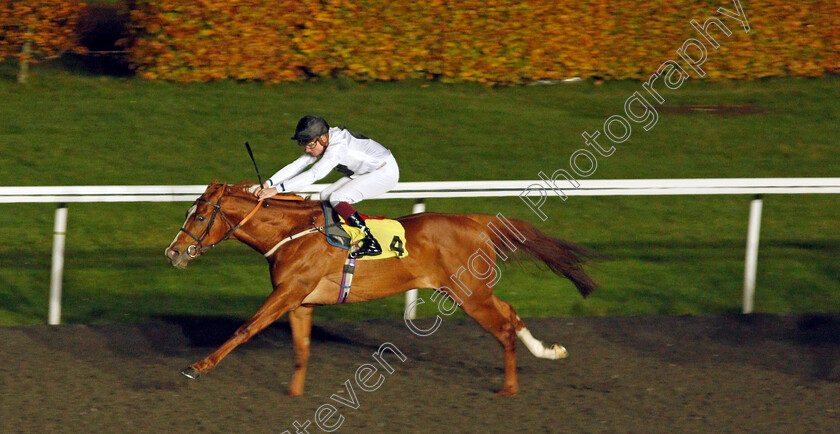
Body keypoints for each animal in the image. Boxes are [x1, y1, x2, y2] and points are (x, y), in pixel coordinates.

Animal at [164, 181, 600, 396]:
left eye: (199, 216)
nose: (173, 252)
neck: (292, 232)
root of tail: (476, 221)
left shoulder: (288, 292)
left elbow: (245, 328)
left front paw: (197, 367)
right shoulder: (300, 299)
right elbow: (301, 349)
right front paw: (294, 394)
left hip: (469, 295)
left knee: (504, 329)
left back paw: (509, 389)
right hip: (475, 291)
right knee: (510, 311)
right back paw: (549, 351)